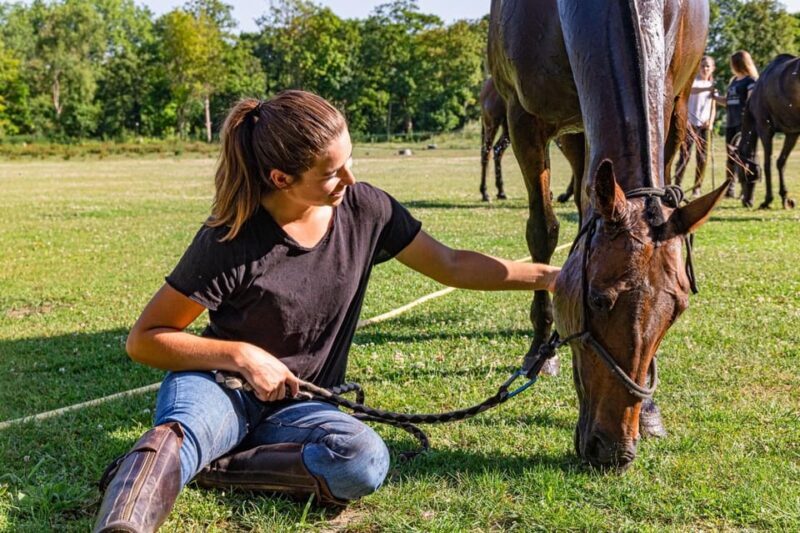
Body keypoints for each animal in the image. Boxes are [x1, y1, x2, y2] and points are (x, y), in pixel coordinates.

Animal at [489, 0, 727, 468]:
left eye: (678, 309)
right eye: (598, 300)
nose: (614, 449)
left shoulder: (668, 102)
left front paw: (650, 409)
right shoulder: (524, 119)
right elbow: (542, 231)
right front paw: (540, 350)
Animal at [737, 54, 799, 209]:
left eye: (740, 173)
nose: (747, 201)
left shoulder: (764, 129)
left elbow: (767, 164)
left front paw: (767, 200)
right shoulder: (792, 133)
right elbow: (781, 162)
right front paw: (785, 198)